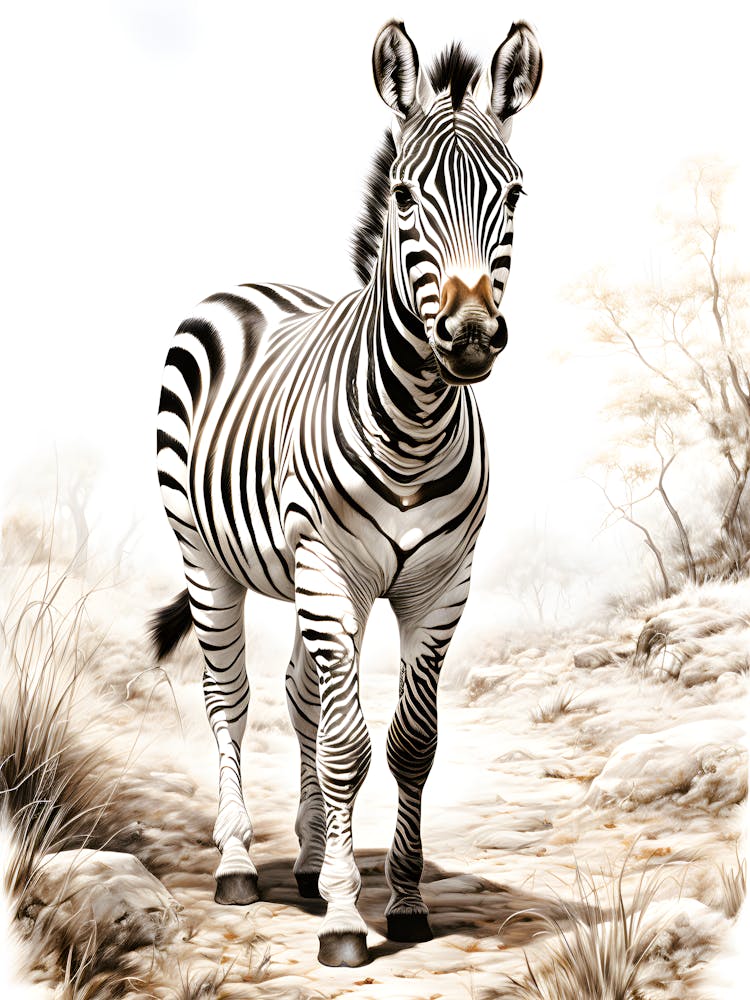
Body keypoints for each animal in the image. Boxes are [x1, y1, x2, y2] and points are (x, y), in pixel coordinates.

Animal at [151, 18, 542, 967]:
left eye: (513, 196)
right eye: (404, 197)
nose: (469, 335)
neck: (416, 420)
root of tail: (247, 285)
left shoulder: (439, 585)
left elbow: (407, 745)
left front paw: (400, 902)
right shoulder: (330, 569)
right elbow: (346, 749)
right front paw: (341, 919)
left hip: (311, 582)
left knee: (299, 695)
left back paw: (301, 861)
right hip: (210, 559)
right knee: (230, 699)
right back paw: (238, 867)